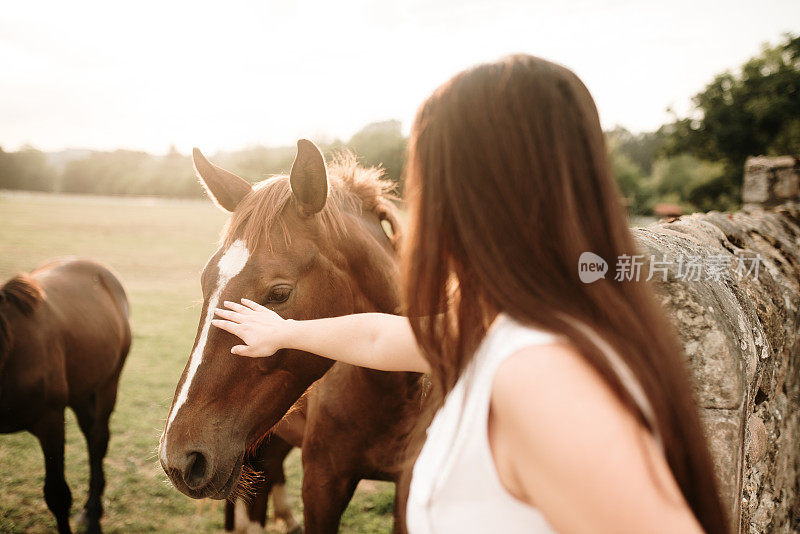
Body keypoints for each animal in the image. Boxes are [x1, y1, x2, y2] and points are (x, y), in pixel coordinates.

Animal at [0, 258, 131, 532]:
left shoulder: (50, 421)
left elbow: (57, 495)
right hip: (80, 392)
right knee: (91, 435)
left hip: (108, 384)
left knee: (98, 439)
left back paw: (92, 512)